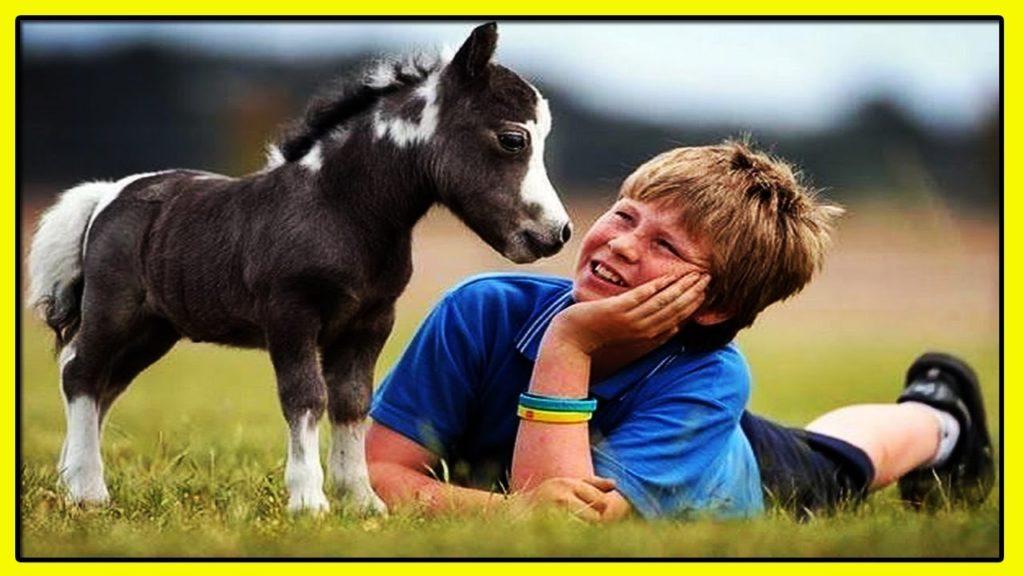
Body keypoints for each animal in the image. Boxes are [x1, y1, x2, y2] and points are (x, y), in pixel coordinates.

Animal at [27, 22, 571, 514]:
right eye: (512, 139)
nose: (555, 233)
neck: (338, 209)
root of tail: (107, 196)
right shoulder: (292, 315)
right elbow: (306, 397)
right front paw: (309, 501)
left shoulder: (370, 322)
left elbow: (352, 402)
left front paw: (362, 502)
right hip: (114, 310)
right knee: (81, 374)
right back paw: (89, 492)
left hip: (154, 330)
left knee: (103, 385)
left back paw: (70, 482)